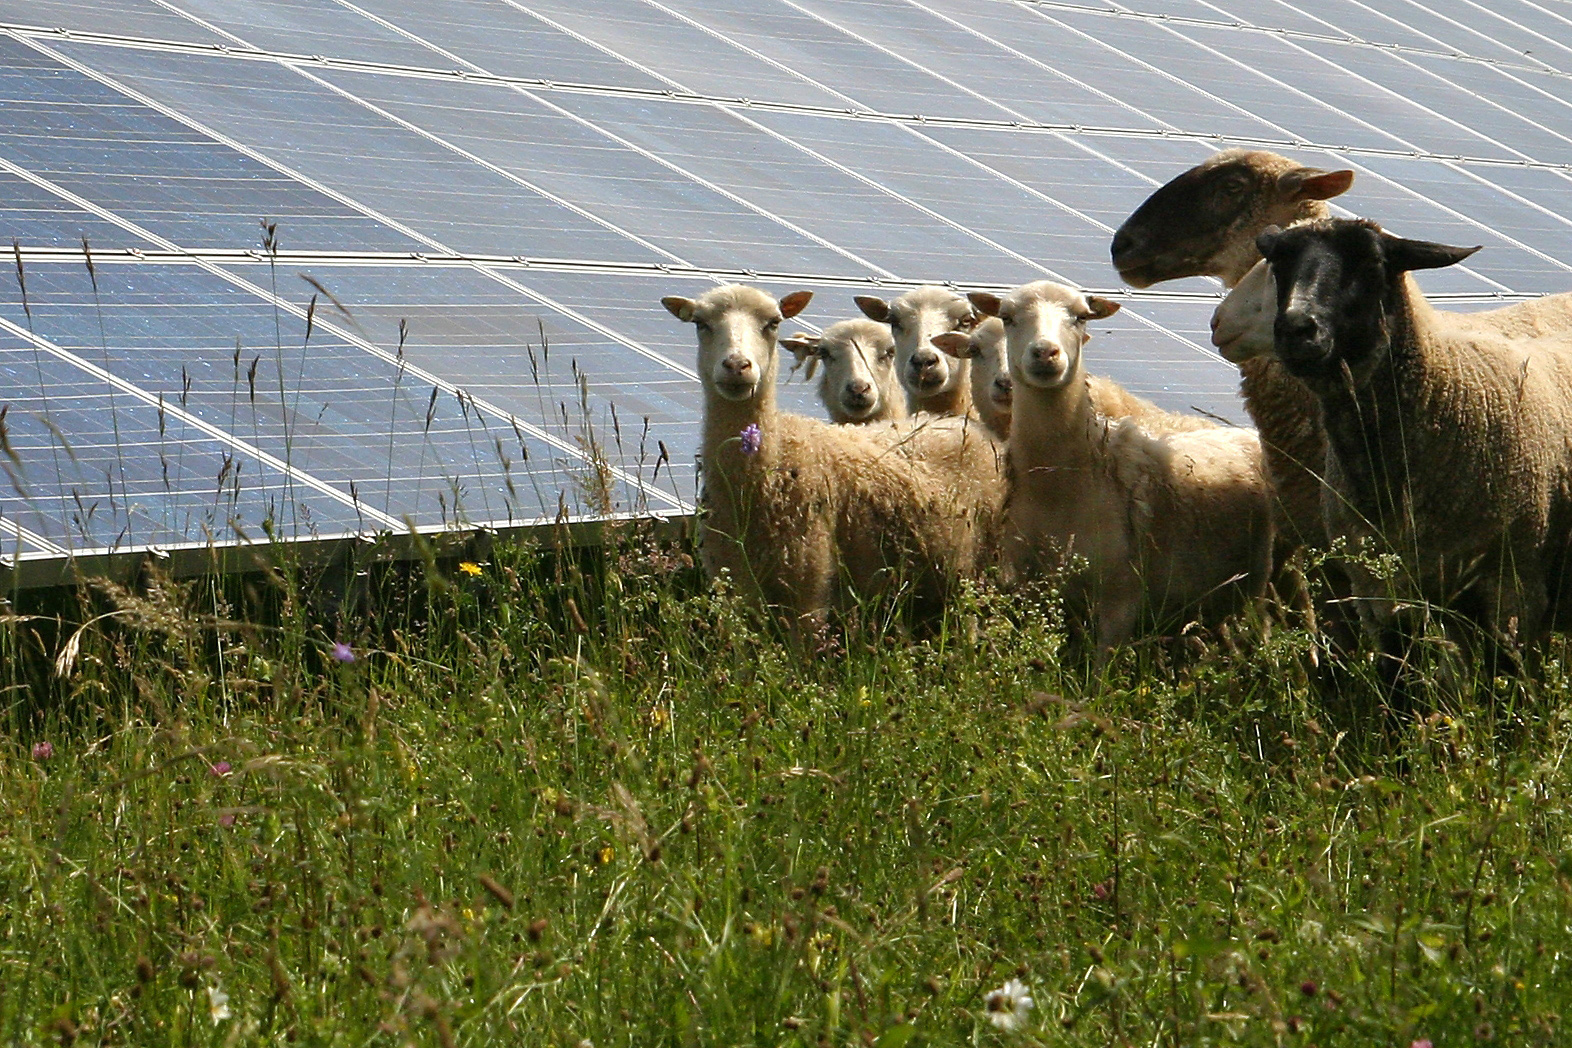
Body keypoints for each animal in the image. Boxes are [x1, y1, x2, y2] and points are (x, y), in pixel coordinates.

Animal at [974, 282, 1282, 650]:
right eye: (1007, 316)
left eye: (1080, 316)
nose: (1046, 353)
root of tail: (1244, 434)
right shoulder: (1031, 586)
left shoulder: (1121, 597)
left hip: (1257, 577)